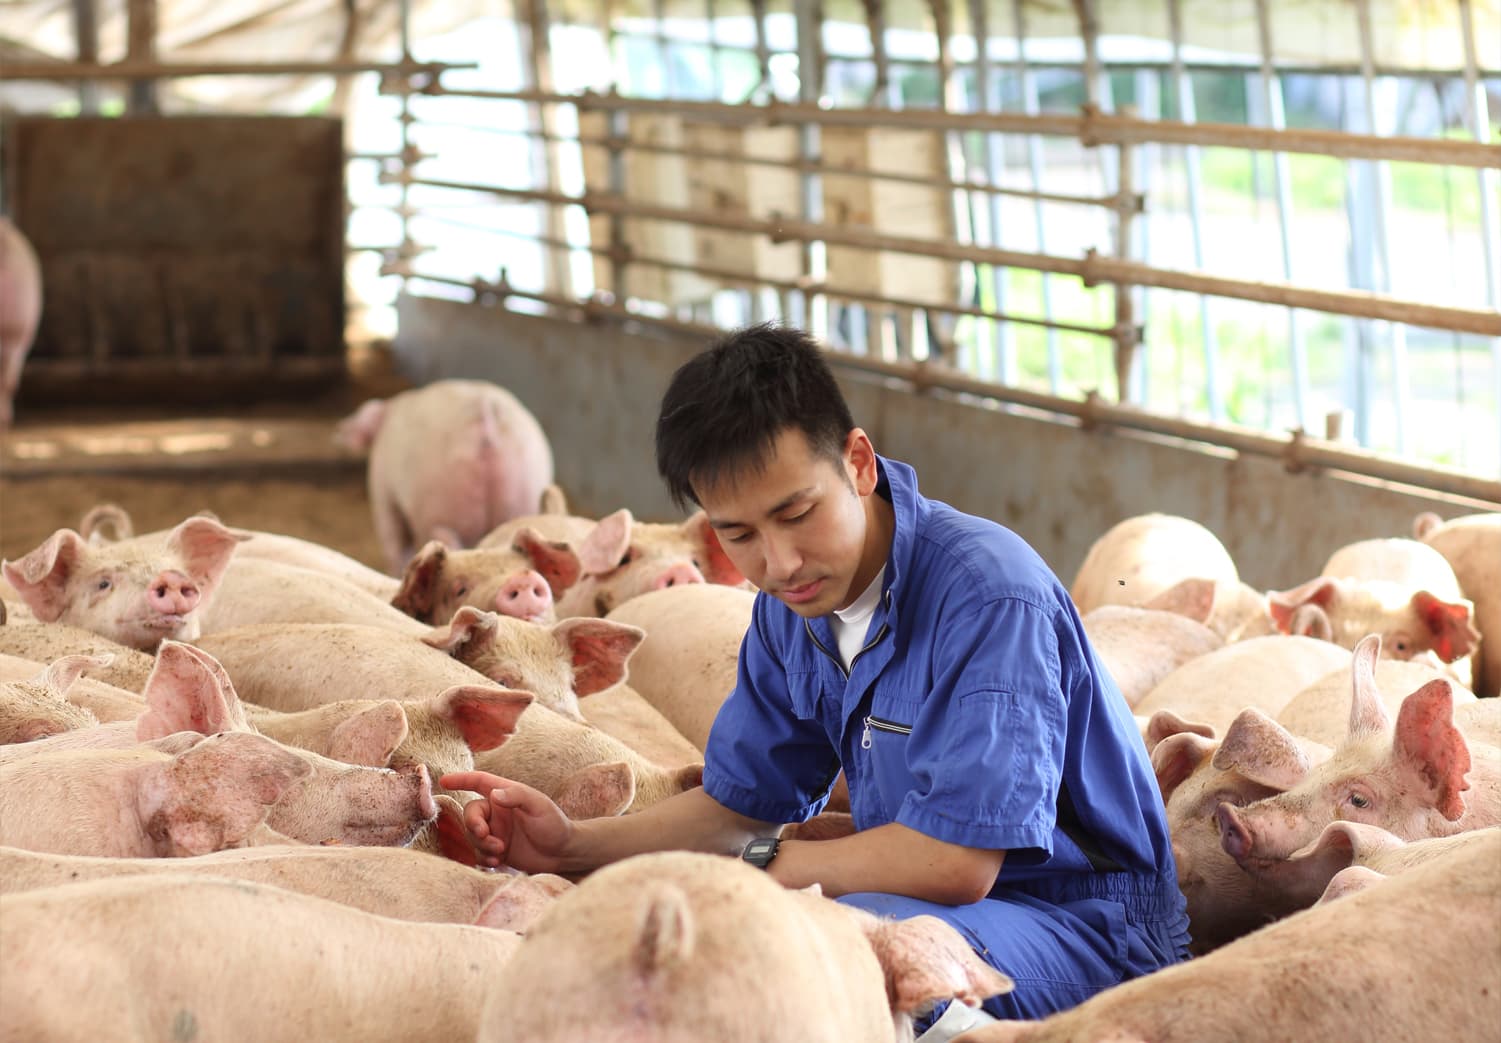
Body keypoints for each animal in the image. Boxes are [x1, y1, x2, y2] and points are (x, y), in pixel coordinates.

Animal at [334, 376, 558, 576]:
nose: (338, 432)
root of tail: (486, 417)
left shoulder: (383, 492)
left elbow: (394, 544)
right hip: (523, 492)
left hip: (441, 504)